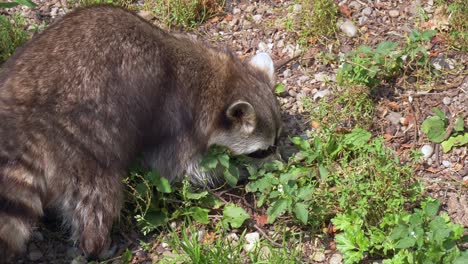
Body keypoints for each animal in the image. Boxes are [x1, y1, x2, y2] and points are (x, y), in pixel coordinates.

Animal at [0, 5, 282, 260]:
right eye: (261, 152)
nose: (280, 163)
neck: (222, 81)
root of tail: (26, 124)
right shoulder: (180, 121)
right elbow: (182, 170)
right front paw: (238, 170)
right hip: (84, 143)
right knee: (98, 199)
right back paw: (97, 244)